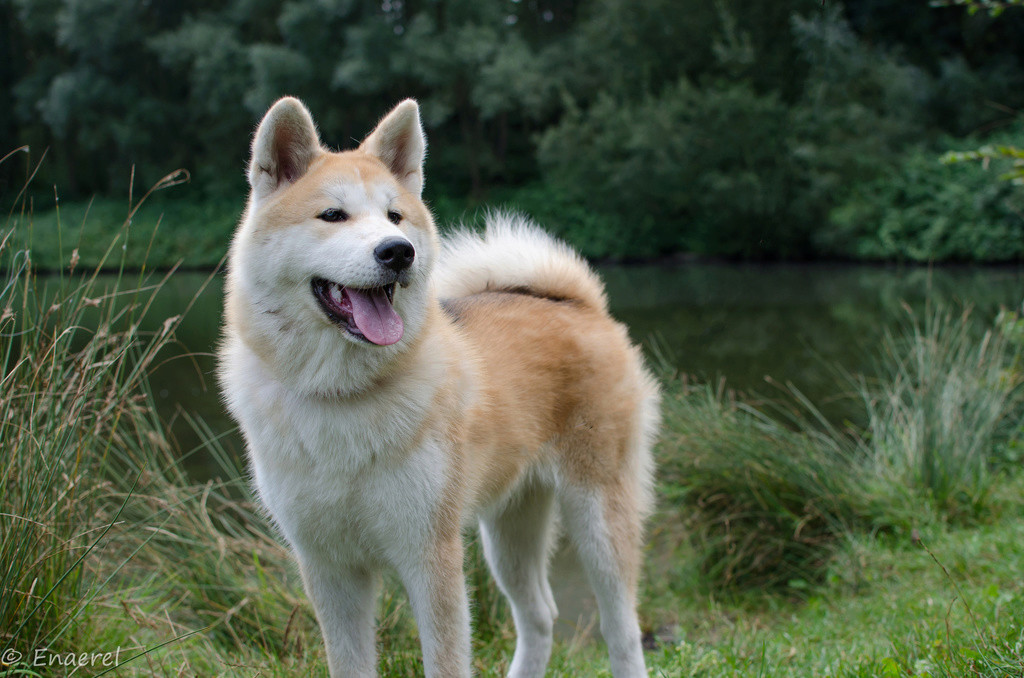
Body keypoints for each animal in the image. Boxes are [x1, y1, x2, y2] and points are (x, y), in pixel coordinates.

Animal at [219, 96, 659, 678]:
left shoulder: (431, 555)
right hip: (510, 531)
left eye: (395, 216)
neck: (345, 398)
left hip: (599, 518)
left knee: (620, 627)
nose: (397, 251)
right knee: (540, 616)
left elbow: (446, 662)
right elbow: (350, 663)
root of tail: (577, 304)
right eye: (332, 215)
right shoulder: (329, 568)